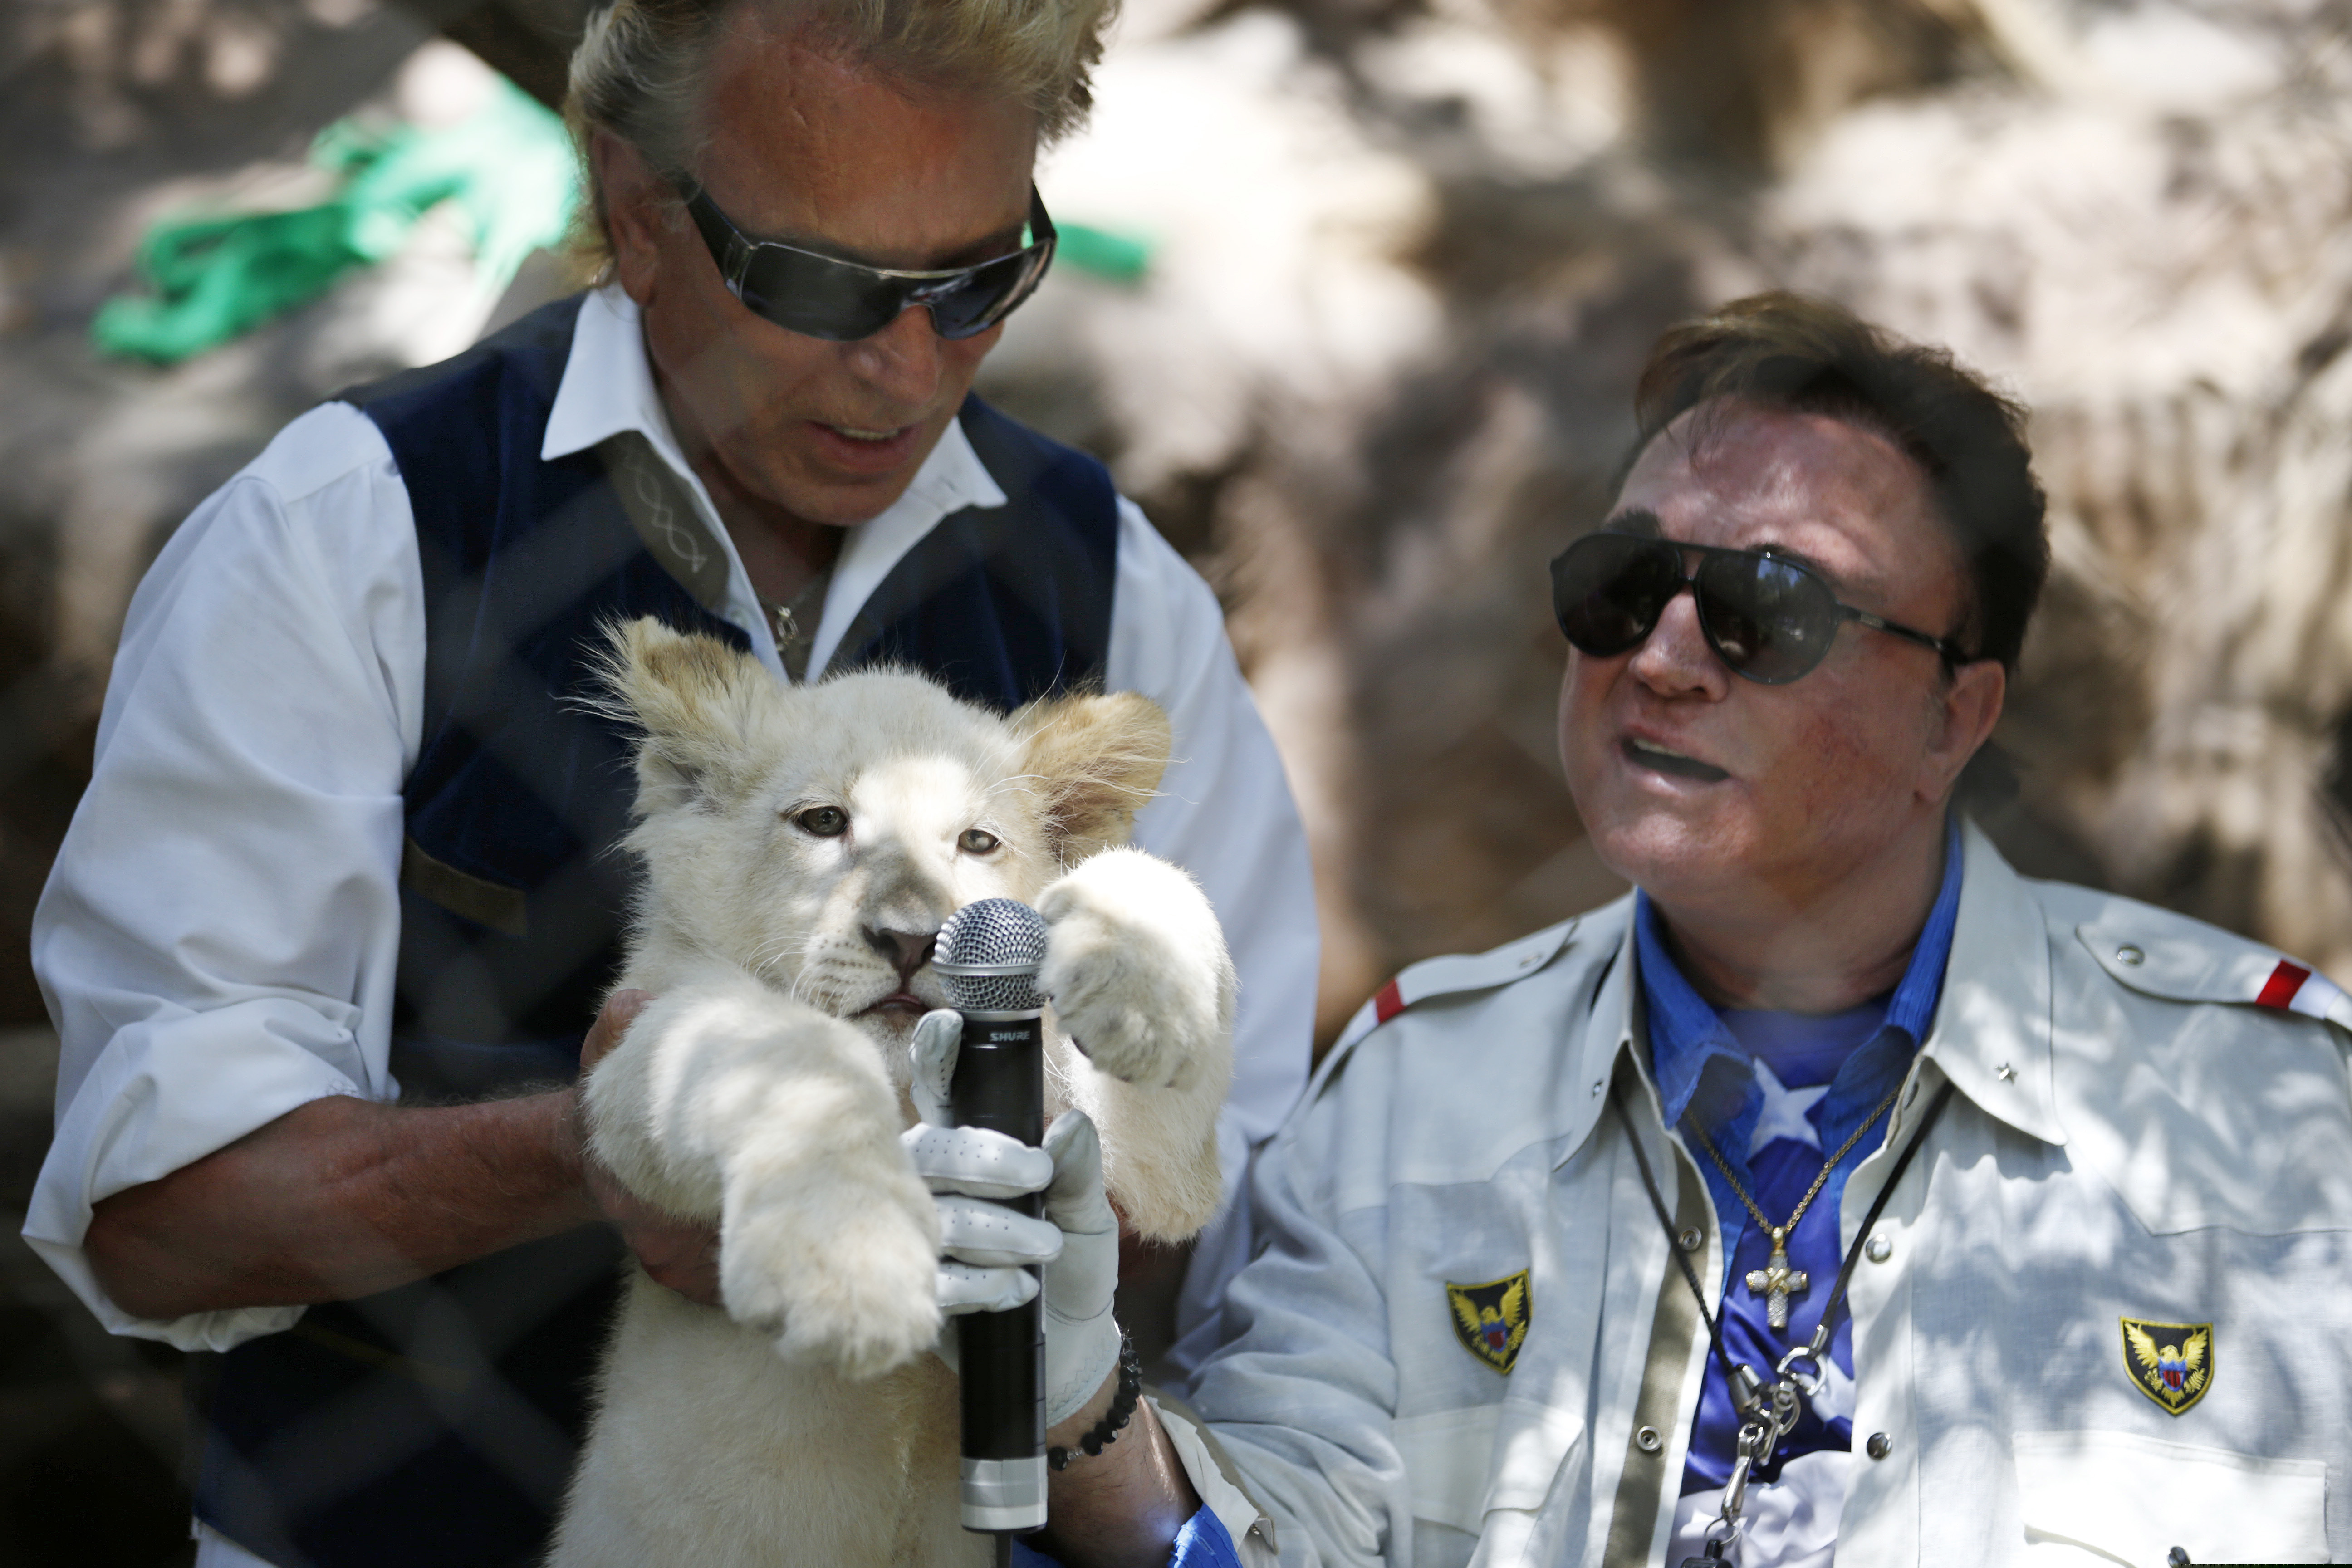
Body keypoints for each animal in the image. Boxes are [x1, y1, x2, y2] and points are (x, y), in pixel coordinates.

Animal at [547, 619, 1236, 1567]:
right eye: (823, 822)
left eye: (977, 843)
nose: (911, 940)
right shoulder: (639, 1045)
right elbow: (799, 1060)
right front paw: (853, 1272)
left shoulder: (1155, 1166)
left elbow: (1144, 877)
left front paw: (1147, 1003)